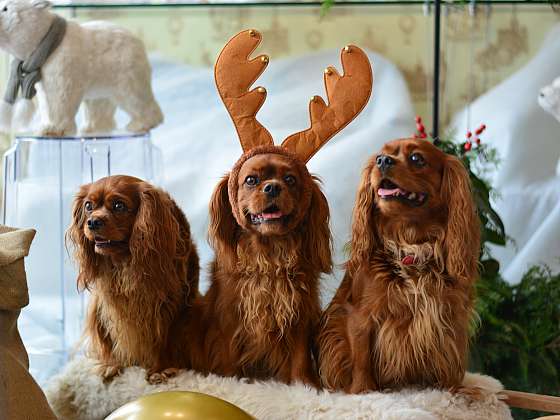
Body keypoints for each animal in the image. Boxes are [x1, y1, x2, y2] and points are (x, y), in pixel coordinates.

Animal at [191, 27, 372, 386]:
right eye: (251, 180)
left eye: (290, 179)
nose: (272, 187)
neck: (268, 256)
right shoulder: (229, 317)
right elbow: (228, 356)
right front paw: (230, 382)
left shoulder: (300, 314)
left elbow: (300, 357)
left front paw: (305, 386)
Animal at [318, 138, 480, 394]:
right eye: (379, 155)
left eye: (416, 158)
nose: (383, 161)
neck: (410, 246)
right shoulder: (359, 316)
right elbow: (362, 359)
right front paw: (363, 391)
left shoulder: (451, 315)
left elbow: (452, 359)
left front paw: (452, 392)